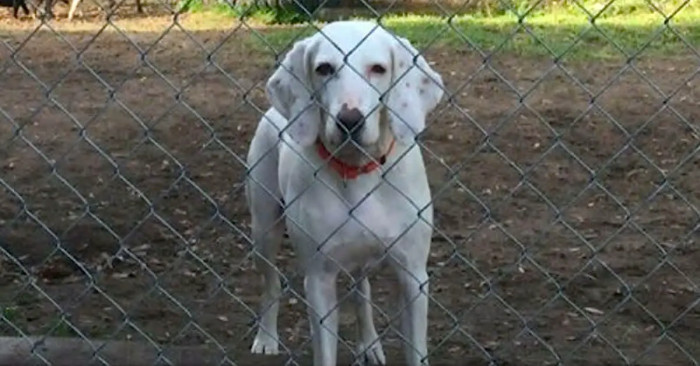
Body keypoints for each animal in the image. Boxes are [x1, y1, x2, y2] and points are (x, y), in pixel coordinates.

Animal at [245, 19, 442, 366]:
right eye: (324, 68)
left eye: (378, 69)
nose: (350, 121)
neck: (358, 171)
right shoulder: (319, 280)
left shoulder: (413, 276)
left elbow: (415, 349)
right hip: (263, 229)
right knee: (271, 282)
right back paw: (266, 337)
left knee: (361, 291)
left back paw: (369, 345)